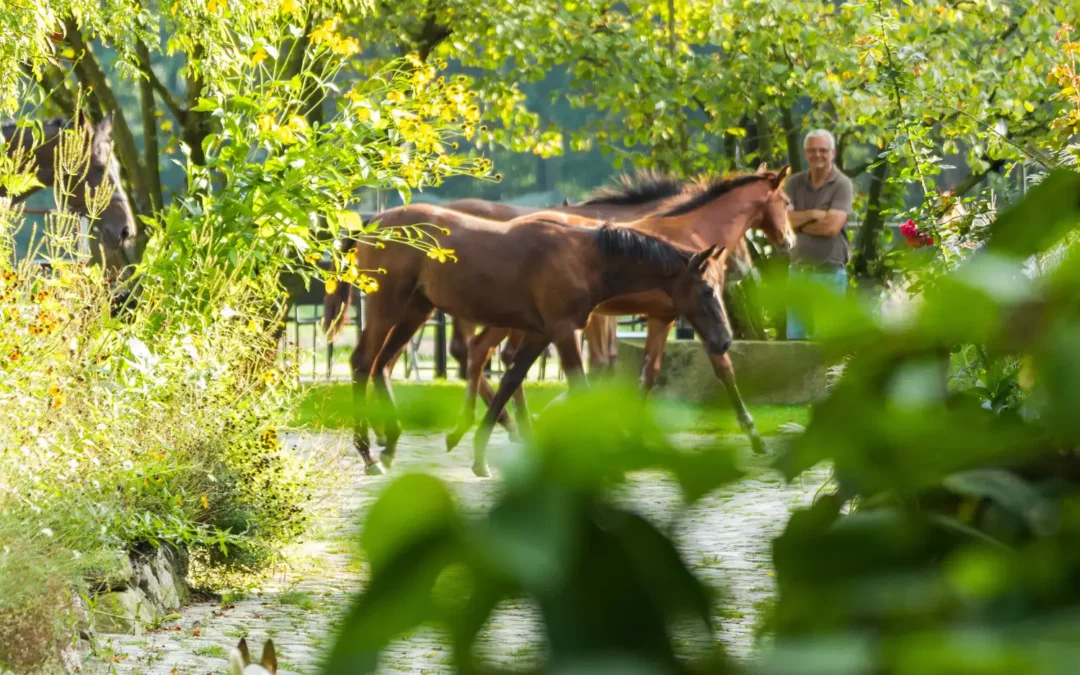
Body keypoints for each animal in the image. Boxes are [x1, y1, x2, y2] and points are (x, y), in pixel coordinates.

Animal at [346, 204, 733, 477]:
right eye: (707, 290)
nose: (725, 341)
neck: (583, 256)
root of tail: (374, 222)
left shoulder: (540, 333)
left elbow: (509, 382)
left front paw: (480, 457)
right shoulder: (562, 331)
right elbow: (578, 387)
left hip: (416, 309)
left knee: (382, 365)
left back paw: (390, 445)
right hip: (388, 305)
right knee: (363, 362)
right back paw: (368, 454)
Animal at [452, 168, 794, 455]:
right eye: (787, 203)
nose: (789, 241)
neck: (688, 232)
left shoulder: (661, 318)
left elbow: (647, 373)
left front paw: (630, 434)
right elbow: (722, 369)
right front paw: (755, 435)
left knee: (484, 351)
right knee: (489, 353)